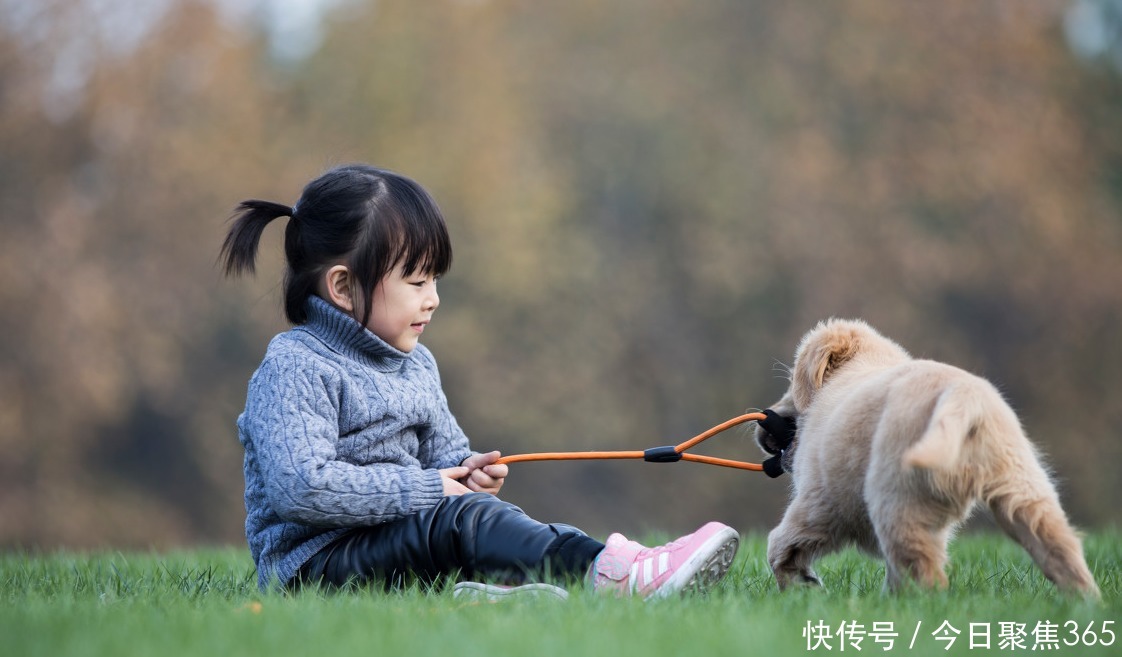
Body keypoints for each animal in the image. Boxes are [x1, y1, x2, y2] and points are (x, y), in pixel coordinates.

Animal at [753, 316, 1095, 591]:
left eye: (790, 383)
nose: (763, 420)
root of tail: (964, 395)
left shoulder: (820, 498)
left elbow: (779, 543)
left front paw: (800, 586)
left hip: (898, 501)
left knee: (924, 572)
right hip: (1022, 487)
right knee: (1059, 547)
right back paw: (1085, 602)